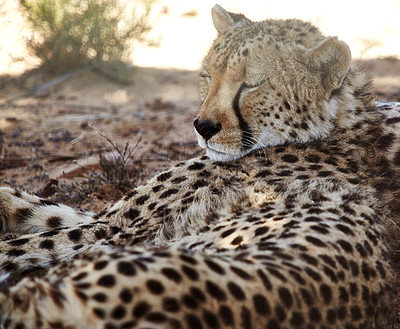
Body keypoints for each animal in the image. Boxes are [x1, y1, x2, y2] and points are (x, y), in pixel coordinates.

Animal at [0, 5, 400, 328]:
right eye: (208, 75)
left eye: (251, 85)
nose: (203, 127)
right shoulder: (114, 219)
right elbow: (46, 209)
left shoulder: (117, 230)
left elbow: (27, 240)